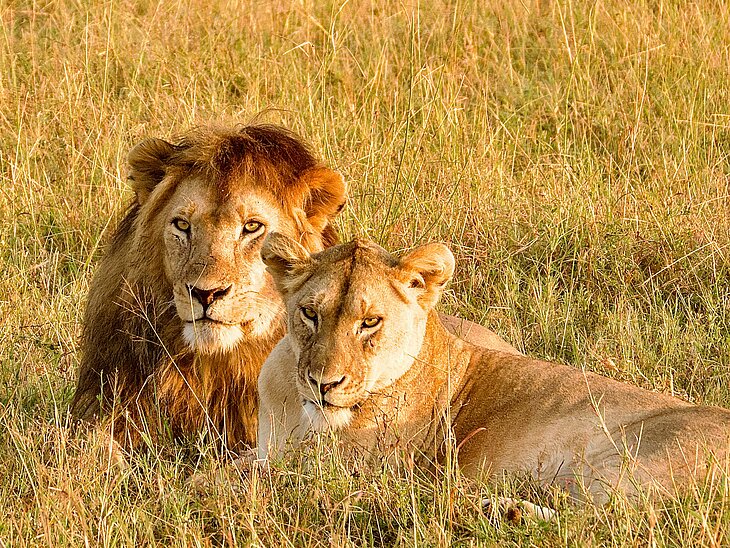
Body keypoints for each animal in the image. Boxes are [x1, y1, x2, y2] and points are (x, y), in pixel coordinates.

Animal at [257, 234, 730, 501]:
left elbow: (250, 479)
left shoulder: (344, 470)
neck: (296, 408)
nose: (322, 383)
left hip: (628, 466)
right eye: (310, 314)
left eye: (370, 322)